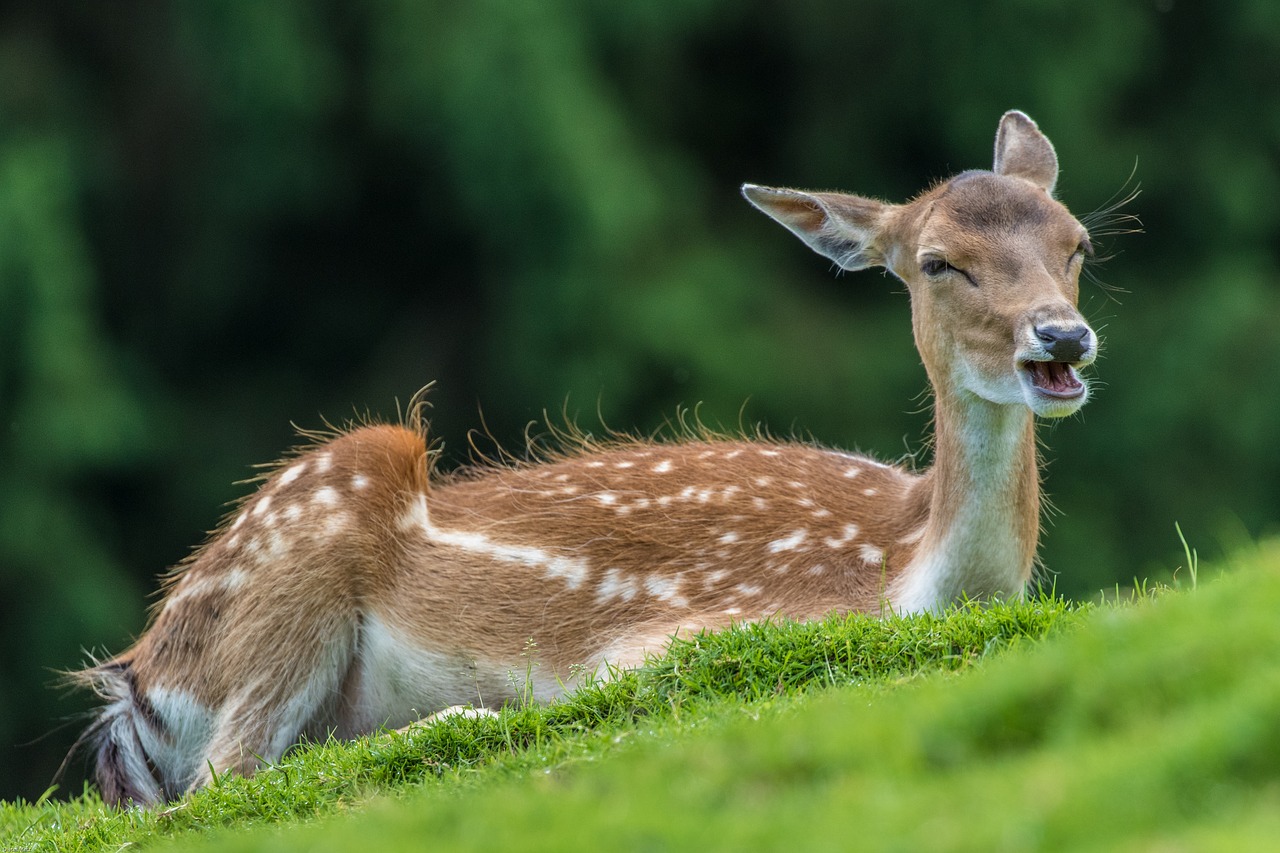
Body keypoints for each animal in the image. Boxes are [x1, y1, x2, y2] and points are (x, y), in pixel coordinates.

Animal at [74, 111, 1100, 804]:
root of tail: (135, 683)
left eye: (1076, 242)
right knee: (228, 775)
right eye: (937, 261)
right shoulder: (683, 635)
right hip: (311, 537)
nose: (1063, 336)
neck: (912, 568)